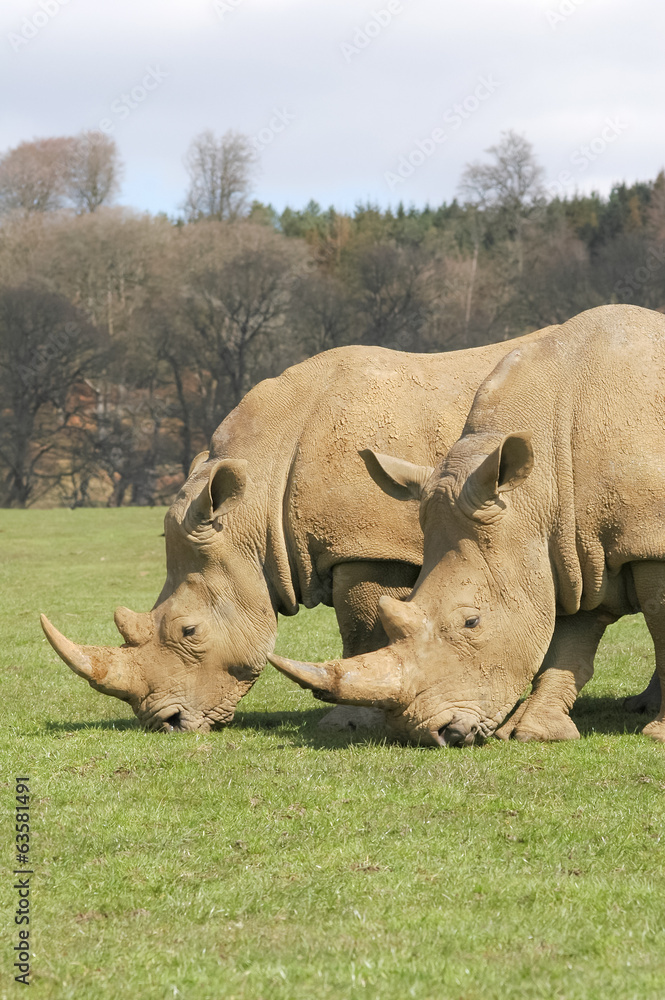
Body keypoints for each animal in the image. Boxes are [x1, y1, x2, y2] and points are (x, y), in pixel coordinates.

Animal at [270, 304, 665, 746]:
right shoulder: (570, 551)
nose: (434, 734)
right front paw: (532, 731)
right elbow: (569, 643)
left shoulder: (638, 541)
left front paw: (657, 735)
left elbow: (658, 623)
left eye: (471, 622)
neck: (542, 486)